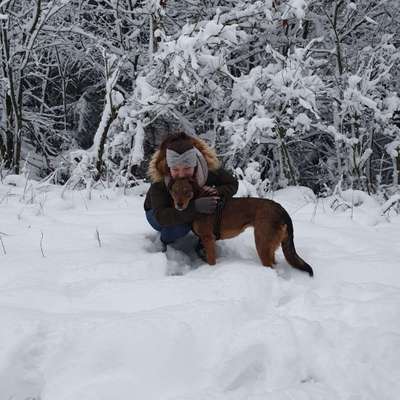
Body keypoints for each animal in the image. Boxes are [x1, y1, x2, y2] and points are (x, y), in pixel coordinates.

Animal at [167, 178, 314, 278]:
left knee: (270, 267)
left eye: (187, 192)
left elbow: (211, 261)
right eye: (175, 191)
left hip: (261, 243)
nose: (179, 205)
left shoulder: (207, 238)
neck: (197, 202)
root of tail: (281, 209)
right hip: (269, 246)